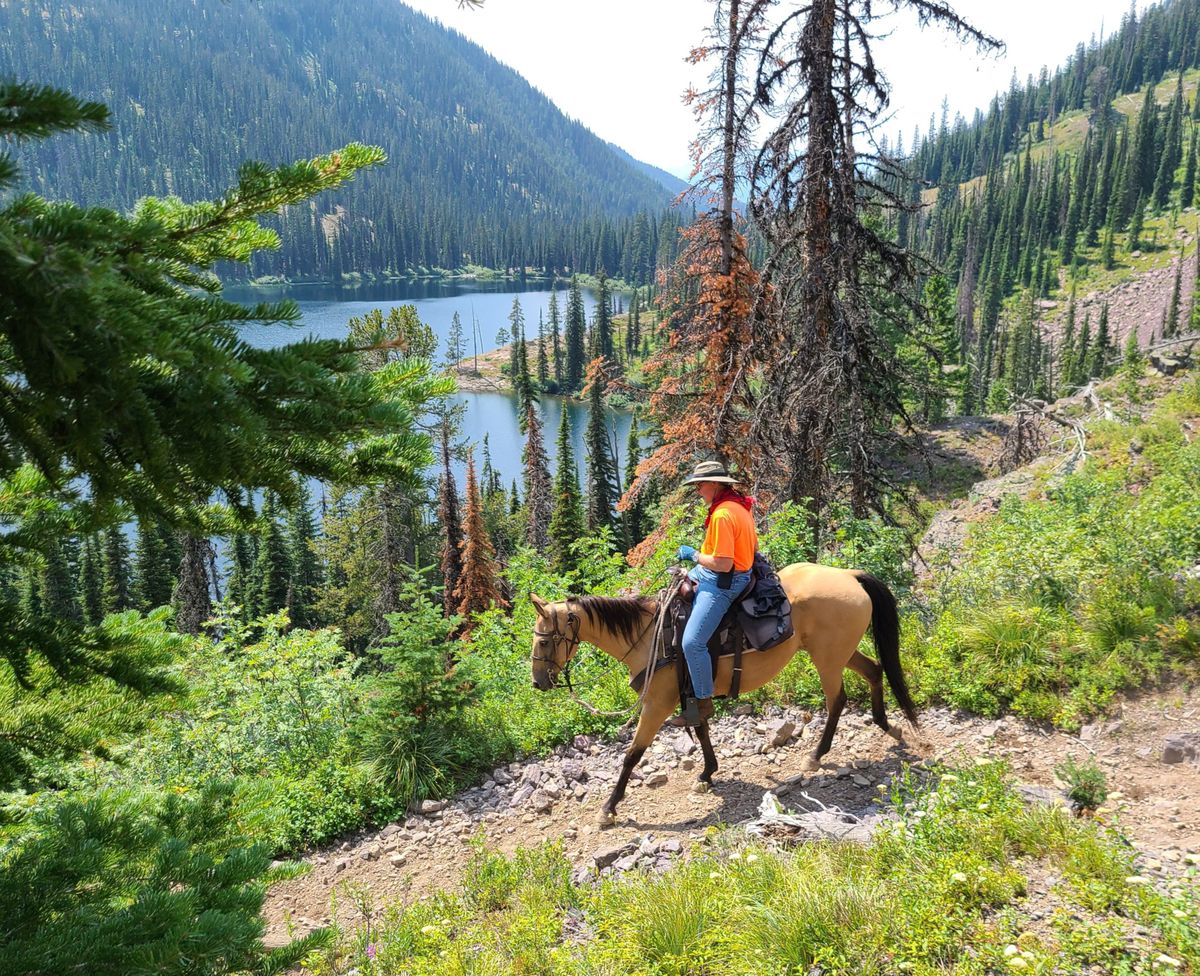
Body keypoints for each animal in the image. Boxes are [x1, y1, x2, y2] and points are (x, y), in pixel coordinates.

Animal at [530, 564, 912, 821]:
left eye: (545, 640)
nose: (538, 682)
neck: (649, 637)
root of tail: (848, 574)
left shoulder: (657, 704)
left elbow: (632, 755)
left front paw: (609, 807)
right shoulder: (691, 691)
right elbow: (700, 728)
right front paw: (707, 773)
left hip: (827, 657)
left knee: (837, 700)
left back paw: (816, 756)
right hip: (840, 652)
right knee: (875, 671)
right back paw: (890, 727)